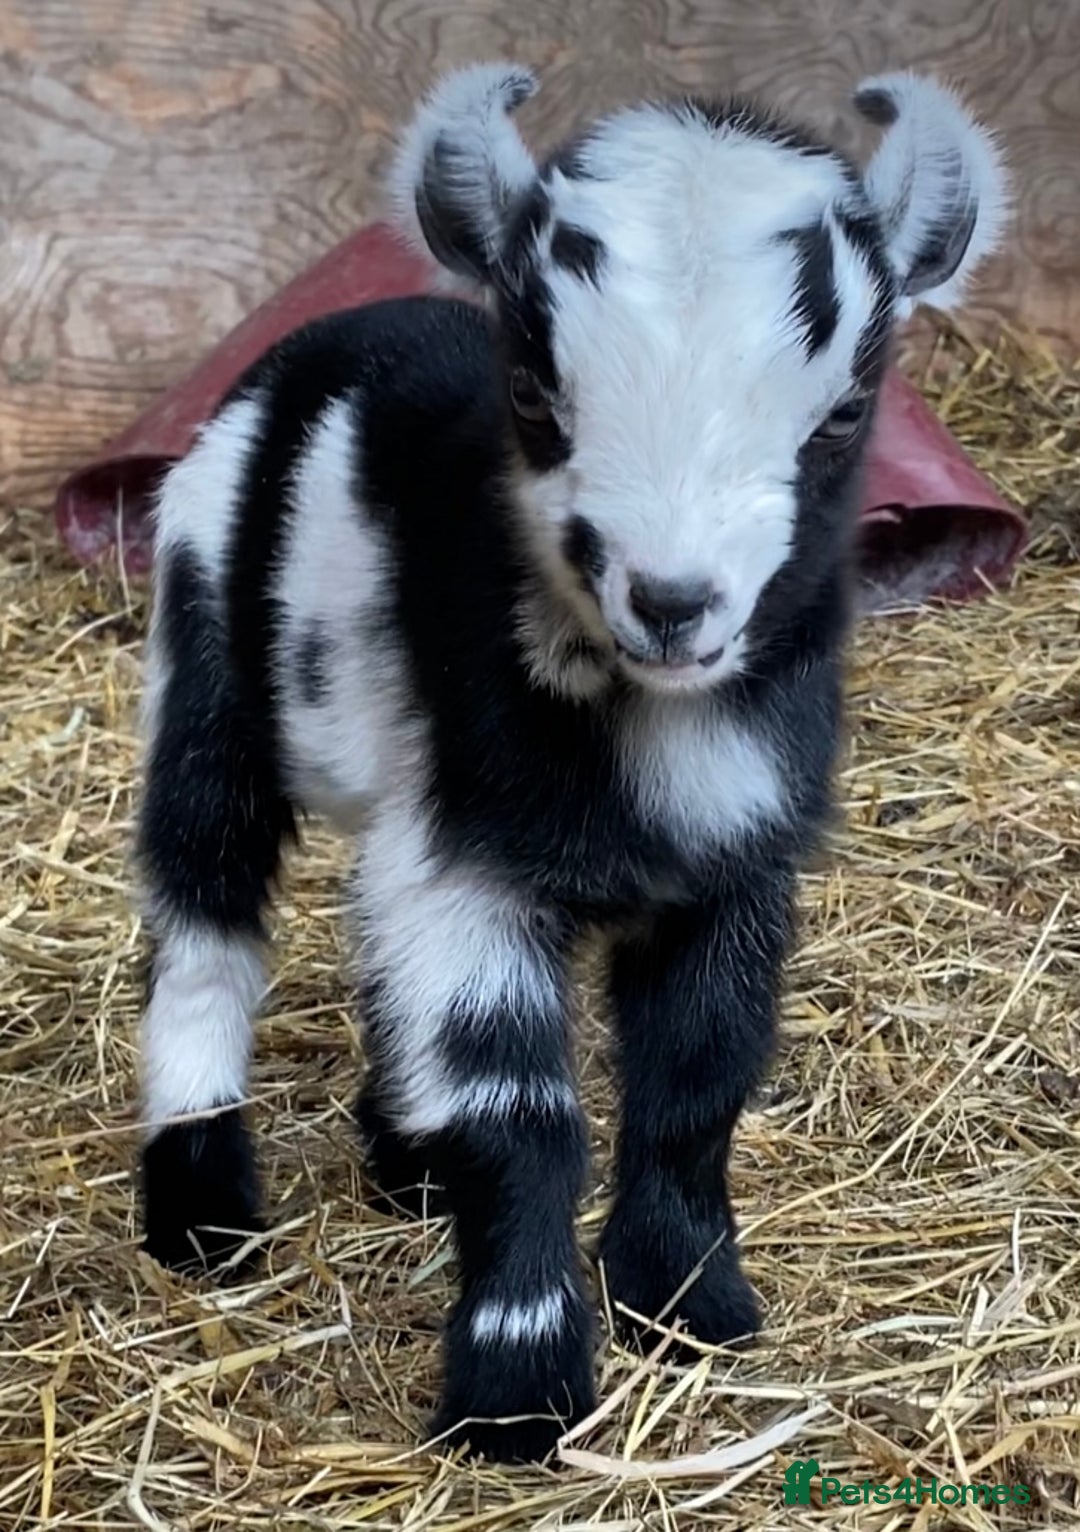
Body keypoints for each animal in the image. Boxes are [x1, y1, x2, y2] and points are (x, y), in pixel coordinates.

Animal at [134, 64, 1006, 1461]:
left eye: (843, 413)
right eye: (539, 396)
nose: (674, 602)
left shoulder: (737, 868)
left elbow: (700, 1075)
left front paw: (689, 1300)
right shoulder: (473, 872)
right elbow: (521, 1112)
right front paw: (517, 1385)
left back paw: (402, 1155)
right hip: (204, 637)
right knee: (204, 905)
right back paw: (202, 1202)